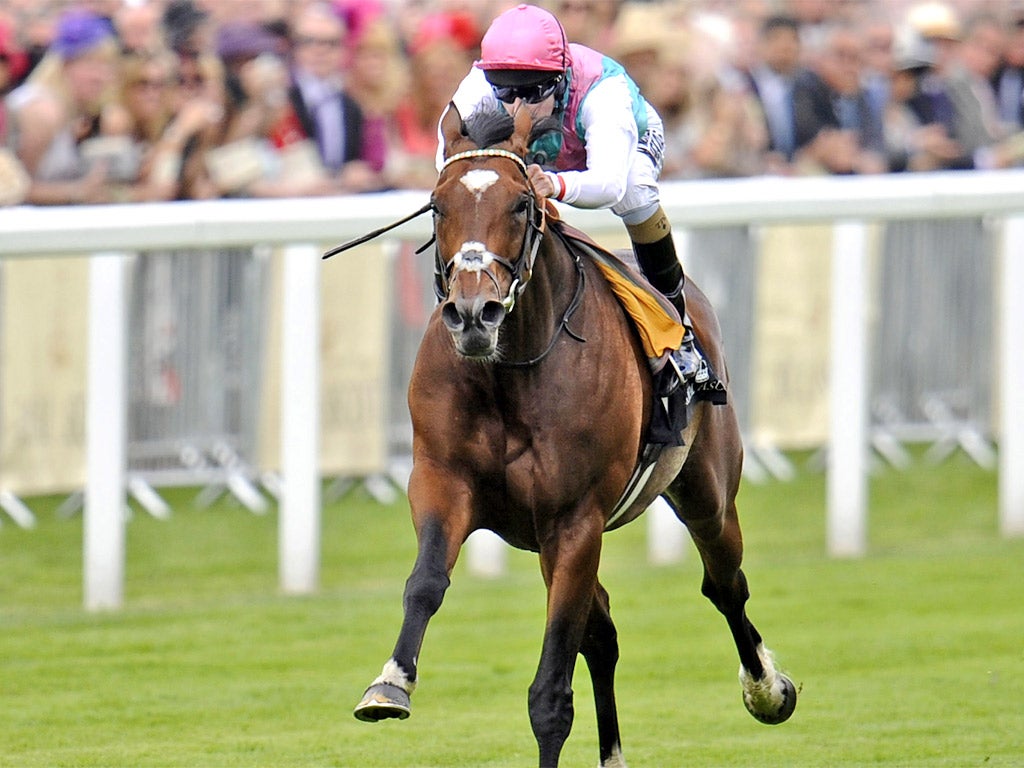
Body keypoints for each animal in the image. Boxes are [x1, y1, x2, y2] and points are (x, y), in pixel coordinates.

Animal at [348, 103, 794, 768]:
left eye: (521, 205)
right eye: (437, 206)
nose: (473, 313)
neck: (508, 369)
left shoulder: (575, 519)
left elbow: (550, 694)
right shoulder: (442, 482)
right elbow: (425, 582)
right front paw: (390, 683)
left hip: (706, 491)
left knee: (724, 584)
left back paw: (767, 690)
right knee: (603, 633)